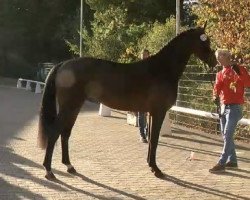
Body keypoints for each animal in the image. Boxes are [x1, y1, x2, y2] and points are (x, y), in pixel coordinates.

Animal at [37, 25, 217, 180]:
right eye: (204, 41)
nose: (214, 62)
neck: (161, 69)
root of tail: (63, 64)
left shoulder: (151, 113)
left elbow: (151, 140)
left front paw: (150, 165)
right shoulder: (158, 112)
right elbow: (155, 140)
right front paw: (156, 170)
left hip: (74, 108)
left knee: (65, 134)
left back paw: (69, 166)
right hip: (68, 107)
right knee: (54, 133)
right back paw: (48, 170)